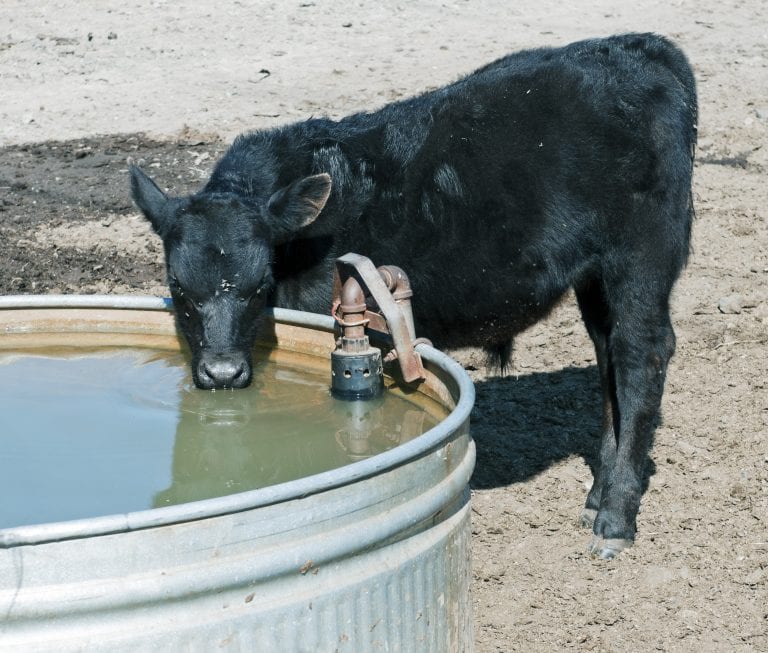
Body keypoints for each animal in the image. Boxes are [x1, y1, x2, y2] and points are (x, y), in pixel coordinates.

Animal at [130, 33, 697, 558]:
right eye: (178, 286)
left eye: (259, 287)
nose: (222, 374)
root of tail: (644, 47)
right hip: (595, 277)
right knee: (608, 357)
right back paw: (598, 494)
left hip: (640, 259)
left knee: (640, 355)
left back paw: (615, 518)